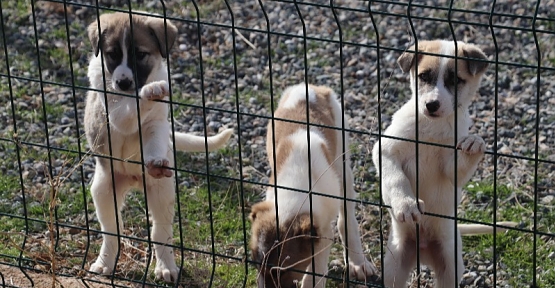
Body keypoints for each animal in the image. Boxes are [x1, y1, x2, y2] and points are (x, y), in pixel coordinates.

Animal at [84, 12, 232, 282]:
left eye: (141, 54)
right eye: (112, 54)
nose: (123, 82)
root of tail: (132, 179)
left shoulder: (157, 125)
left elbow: (155, 135)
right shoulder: (114, 109)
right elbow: (129, 109)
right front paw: (149, 91)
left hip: (162, 192)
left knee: (161, 233)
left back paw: (165, 267)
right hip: (103, 190)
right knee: (112, 231)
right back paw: (104, 263)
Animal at [251, 84, 378, 288]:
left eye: (282, 270)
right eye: (256, 262)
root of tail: (309, 87)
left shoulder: (323, 232)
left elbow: (315, 271)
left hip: (343, 166)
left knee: (347, 219)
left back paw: (358, 263)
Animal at [374, 39, 516, 286]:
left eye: (455, 80)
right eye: (423, 76)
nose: (431, 105)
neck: (433, 127)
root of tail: (422, 251)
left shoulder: (451, 168)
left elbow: (459, 166)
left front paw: (474, 142)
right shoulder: (385, 150)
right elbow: (396, 179)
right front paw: (406, 204)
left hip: (450, 264)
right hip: (393, 267)